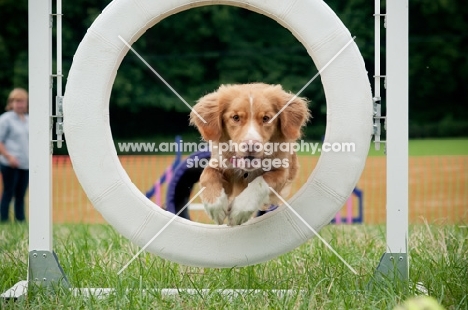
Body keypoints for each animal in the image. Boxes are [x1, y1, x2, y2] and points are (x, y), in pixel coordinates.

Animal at [190, 83, 310, 225]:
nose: (251, 145)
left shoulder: (281, 171)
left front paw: (240, 210)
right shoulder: (220, 162)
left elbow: (261, 181)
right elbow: (208, 174)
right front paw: (215, 206)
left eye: (266, 118)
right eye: (236, 117)